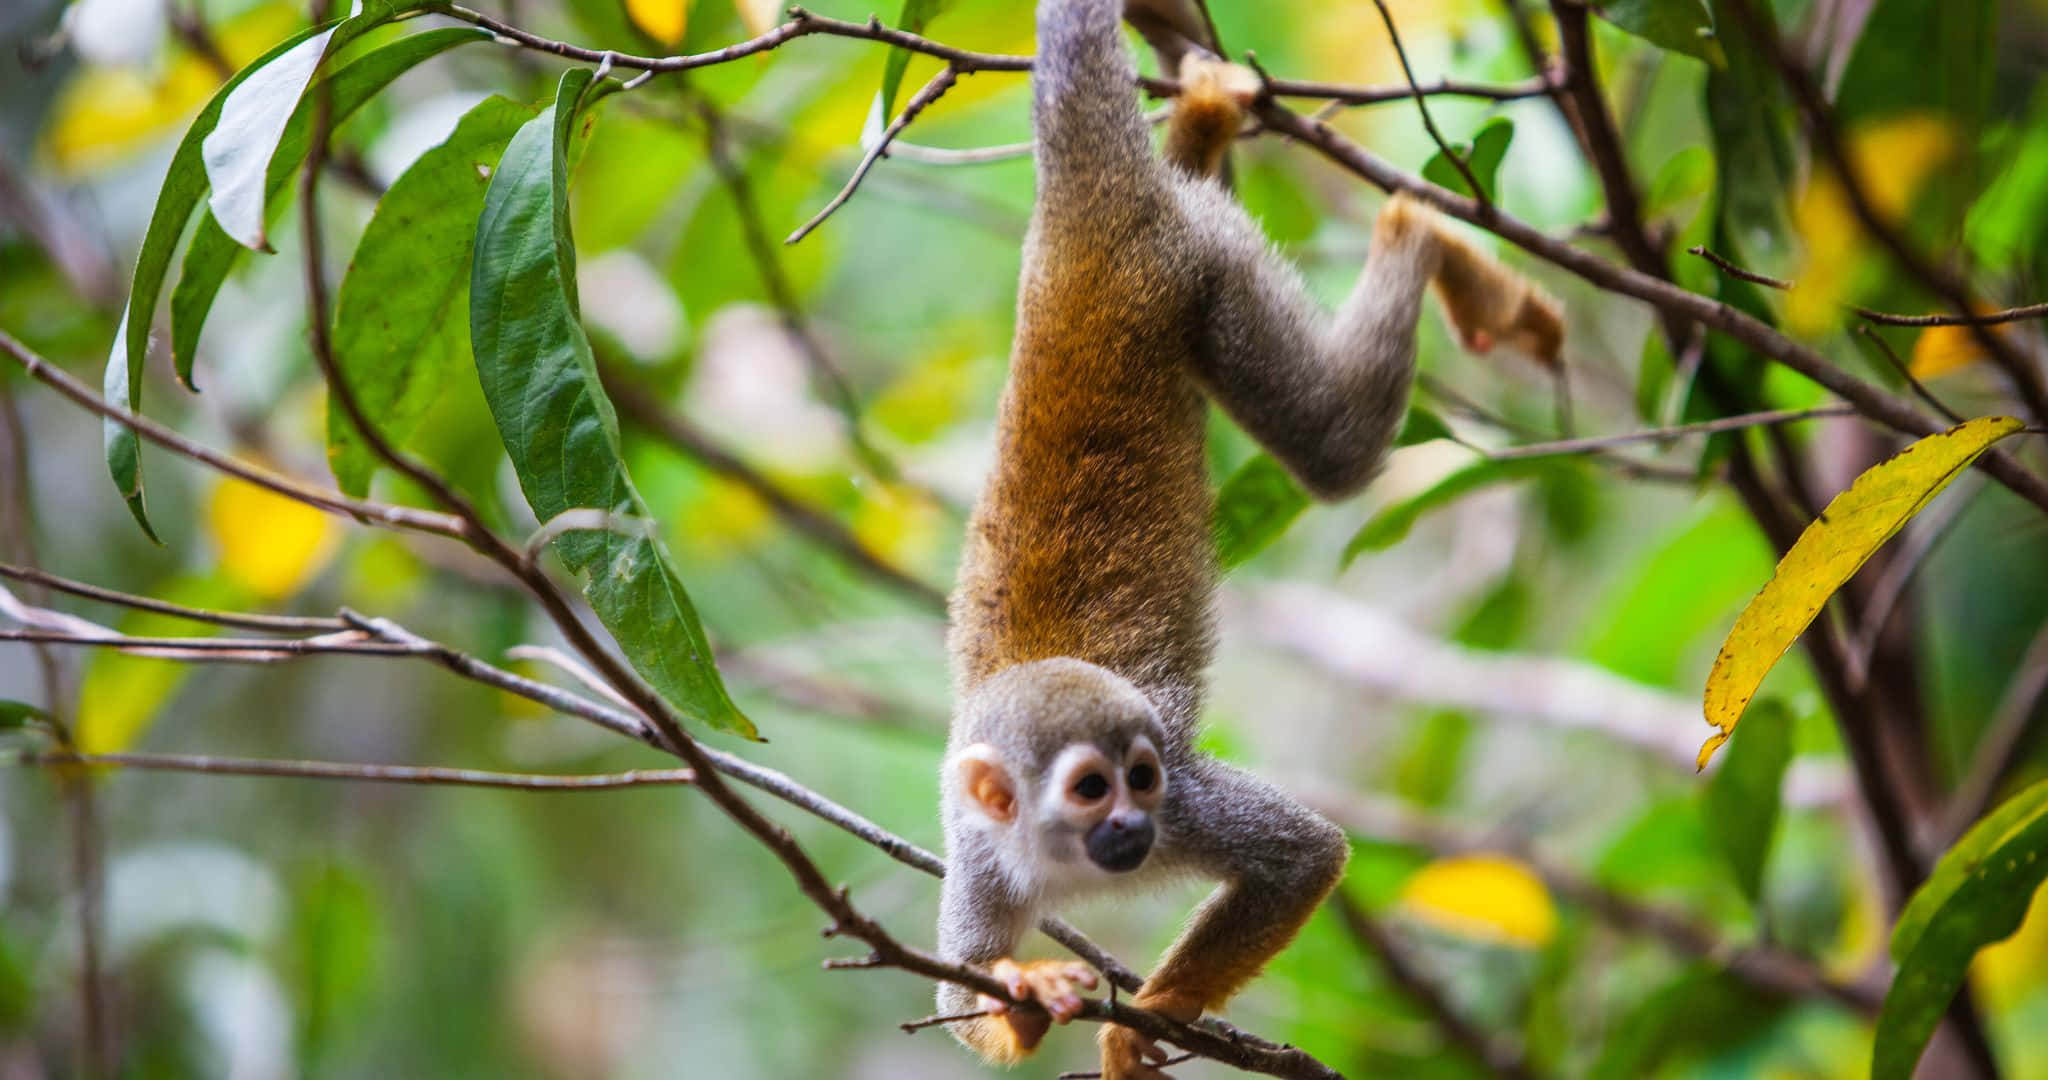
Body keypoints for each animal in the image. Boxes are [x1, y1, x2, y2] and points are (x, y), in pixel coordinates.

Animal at [937, 4, 1564, 1073]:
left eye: (1142, 778)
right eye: (1092, 788)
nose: (1132, 823)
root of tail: (1082, 223)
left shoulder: (1188, 801)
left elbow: (1306, 857)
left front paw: (1148, 1015)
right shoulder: (977, 853)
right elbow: (968, 1005)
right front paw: (1028, 990)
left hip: (1206, 261)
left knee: (1334, 448)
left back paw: (1430, 244)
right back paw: (1201, 121)